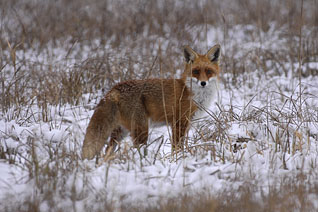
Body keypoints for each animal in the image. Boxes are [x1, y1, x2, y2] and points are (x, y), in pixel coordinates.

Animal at [82, 44, 221, 159]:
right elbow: (177, 147)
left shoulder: (185, 123)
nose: (203, 83)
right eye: (196, 71)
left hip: (121, 131)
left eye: (208, 71)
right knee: (136, 149)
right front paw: (177, 159)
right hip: (141, 129)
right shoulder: (179, 123)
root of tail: (115, 88)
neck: (192, 93)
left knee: (107, 150)